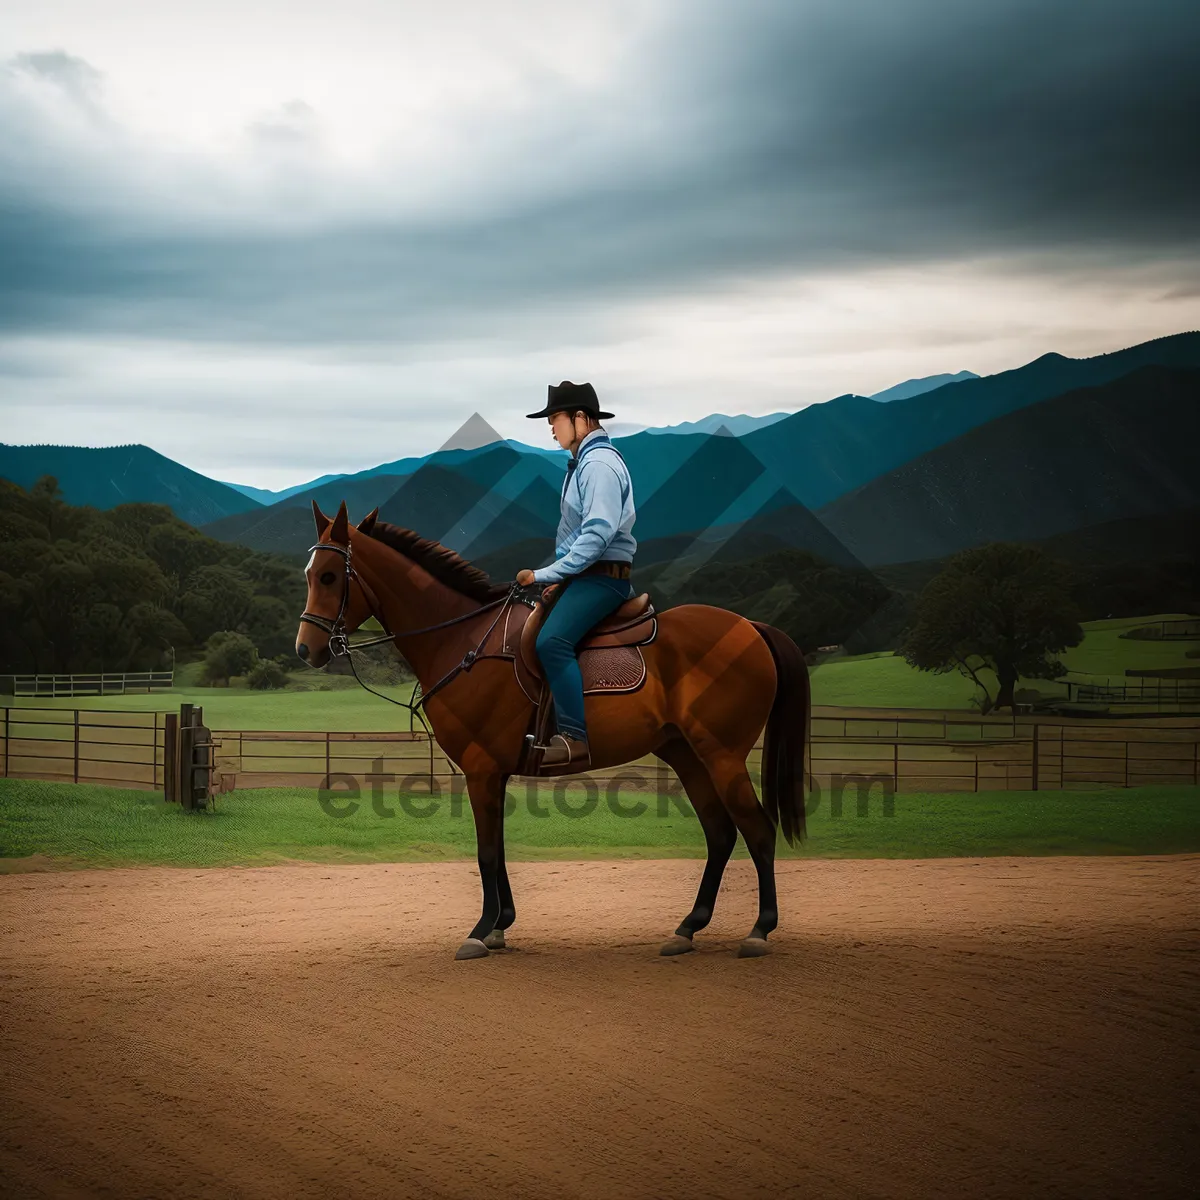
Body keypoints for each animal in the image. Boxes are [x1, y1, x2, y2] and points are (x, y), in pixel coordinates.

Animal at [295, 501, 811, 960]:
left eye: (329, 576)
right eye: (308, 575)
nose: (306, 648)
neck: (462, 642)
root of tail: (751, 626)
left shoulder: (481, 770)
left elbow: (486, 852)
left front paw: (479, 932)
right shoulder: (494, 774)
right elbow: (499, 849)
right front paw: (500, 926)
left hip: (721, 755)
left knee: (758, 830)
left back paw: (759, 931)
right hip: (686, 754)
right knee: (721, 834)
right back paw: (688, 928)